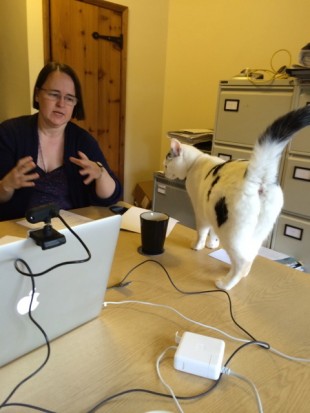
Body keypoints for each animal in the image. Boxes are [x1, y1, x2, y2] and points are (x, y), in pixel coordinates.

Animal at [165, 104, 310, 288]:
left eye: (167, 164)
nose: (165, 172)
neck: (196, 161)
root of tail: (257, 175)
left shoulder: (201, 212)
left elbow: (202, 232)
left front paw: (198, 246)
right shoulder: (212, 212)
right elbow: (212, 232)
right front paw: (212, 244)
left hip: (232, 232)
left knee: (242, 260)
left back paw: (226, 283)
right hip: (257, 233)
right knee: (251, 256)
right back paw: (240, 275)